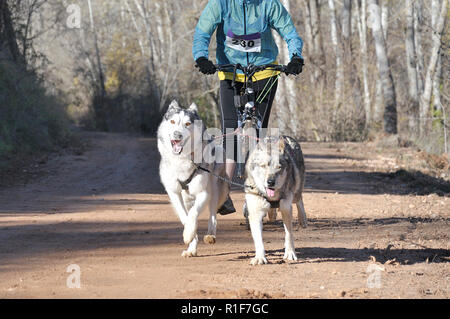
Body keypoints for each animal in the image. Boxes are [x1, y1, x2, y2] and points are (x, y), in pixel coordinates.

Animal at [157, 100, 229, 258]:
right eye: (172, 121)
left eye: (188, 124)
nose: (177, 134)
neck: (183, 160)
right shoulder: (174, 193)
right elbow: (185, 217)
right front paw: (190, 238)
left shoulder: (203, 193)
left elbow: (194, 214)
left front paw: (188, 234)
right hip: (187, 198)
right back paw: (192, 249)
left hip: (215, 189)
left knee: (213, 214)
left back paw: (210, 235)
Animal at [244, 136, 308, 266]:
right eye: (263, 166)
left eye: (279, 167)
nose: (271, 182)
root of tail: (285, 136)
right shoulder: (255, 213)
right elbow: (258, 239)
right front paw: (260, 257)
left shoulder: (286, 208)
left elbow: (289, 234)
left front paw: (290, 253)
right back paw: (272, 214)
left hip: (296, 193)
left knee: (299, 199)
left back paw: (302, 219)